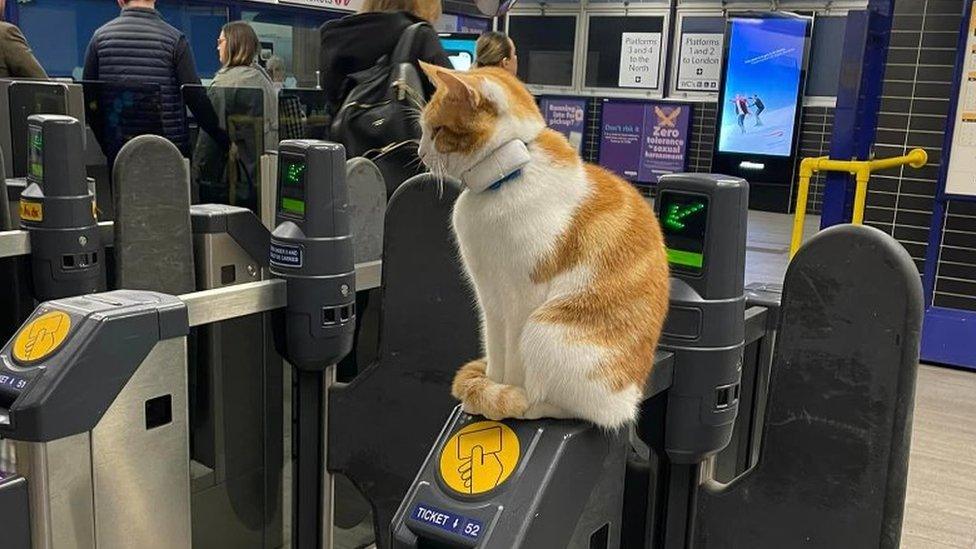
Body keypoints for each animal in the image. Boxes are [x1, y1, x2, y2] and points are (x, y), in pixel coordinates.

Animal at [420, 61, 672, 428]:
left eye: (437, 130)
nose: (421, 152)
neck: (505, 177)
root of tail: (630, 399)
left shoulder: (521, 298)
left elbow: (514, 362)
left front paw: (503, 395)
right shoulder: (490, 300)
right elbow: (497, 353)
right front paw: (490, 386)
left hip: (546, 328)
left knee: (578, 410)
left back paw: (527, 403)